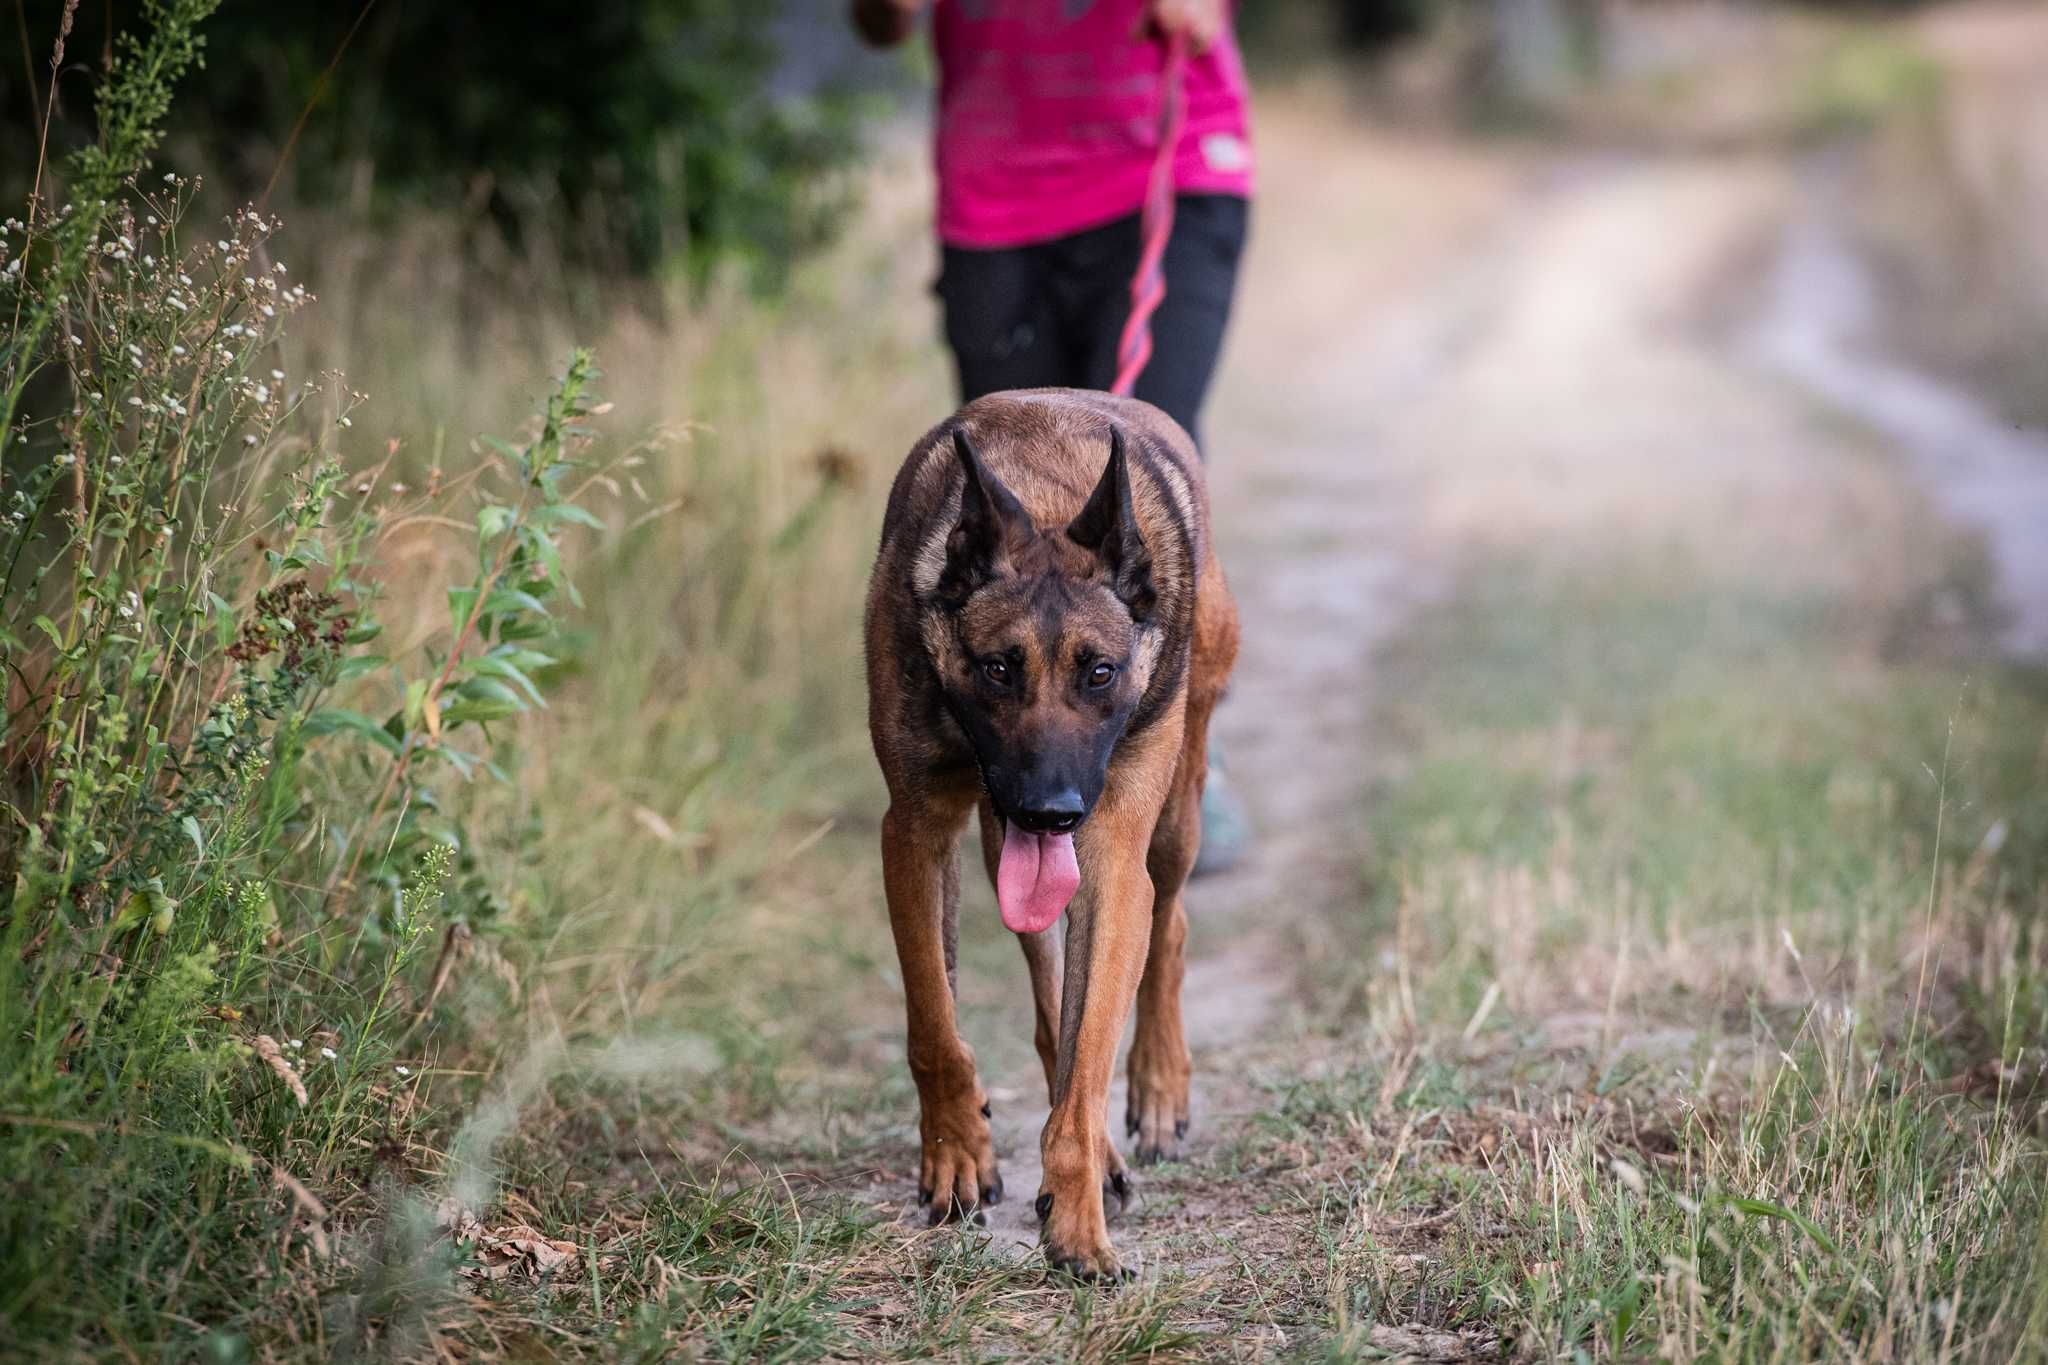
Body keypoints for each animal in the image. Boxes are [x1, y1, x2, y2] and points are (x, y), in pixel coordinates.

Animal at [860, 386, 1236, 1285]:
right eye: (999, 668)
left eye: (1099, 672)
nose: (1052, 808)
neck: (1048, 493)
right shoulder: (916, 830)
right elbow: (936, 1024)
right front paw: (958, 1150)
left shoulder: (1110, 860)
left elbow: (1088, 1056)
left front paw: (1077, 1221)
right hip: (1004, 846)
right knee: (1045, 988)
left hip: (1171, 816)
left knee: (1167, 929)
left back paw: (1156, 1089)